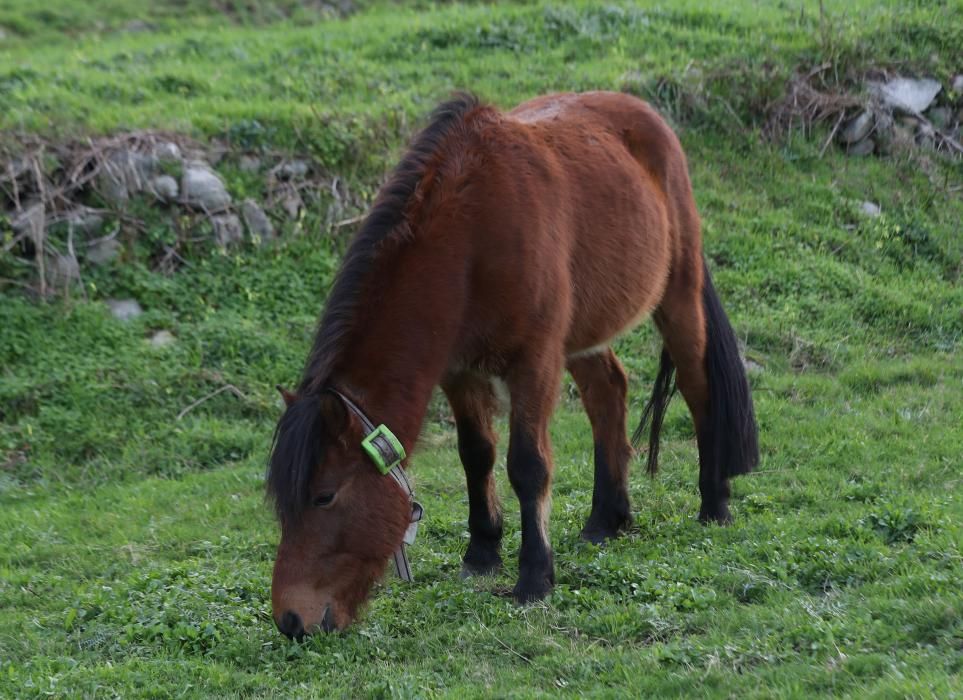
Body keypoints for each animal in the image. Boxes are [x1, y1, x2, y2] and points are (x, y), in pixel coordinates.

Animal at [266, 90, 760, 636]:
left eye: (324, 496)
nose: (291, 619)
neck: (470, 238)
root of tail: (644, 113)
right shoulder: (459, 370)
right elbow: (475, 453)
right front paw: (482, 552)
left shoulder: (534, 362)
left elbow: (527, 465)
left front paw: (534, 577)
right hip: (585, 333)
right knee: (608, 394)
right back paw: (605, 520)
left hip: (677, 296)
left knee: (697, 389)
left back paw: (714, 502)